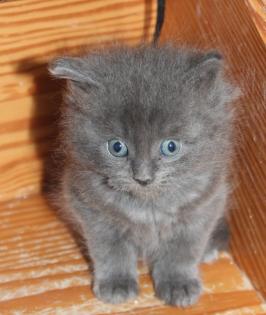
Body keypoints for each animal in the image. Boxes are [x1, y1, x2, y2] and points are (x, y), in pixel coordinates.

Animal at [48, 45, 238, 308]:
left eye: (170, 147)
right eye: (117, 147)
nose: (143, 177)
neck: (149, 205)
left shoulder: (204, 205)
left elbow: (182, 251)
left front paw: (178, 283)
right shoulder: (91, 208)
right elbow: (110, 251)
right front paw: (116, 284)